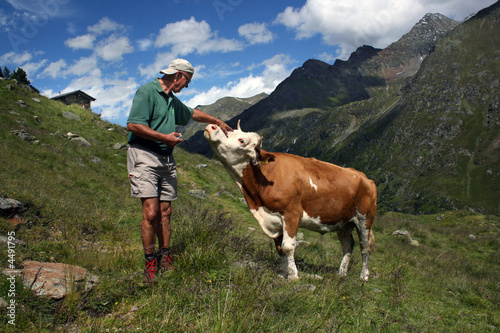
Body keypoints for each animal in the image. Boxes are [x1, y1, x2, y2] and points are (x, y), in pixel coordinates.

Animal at [203, 120, 376, 278]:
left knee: (365, 247)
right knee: (348, 245)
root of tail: (365, 177)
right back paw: (341, 273)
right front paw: (283, 271)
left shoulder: (291, 214)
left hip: (364, 219)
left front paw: (293, 276)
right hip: (343, 222)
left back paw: (363, 276)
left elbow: (287, 247)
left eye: (241, 140)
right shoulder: (275, 219)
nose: (212, 126)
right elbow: (279, 248)